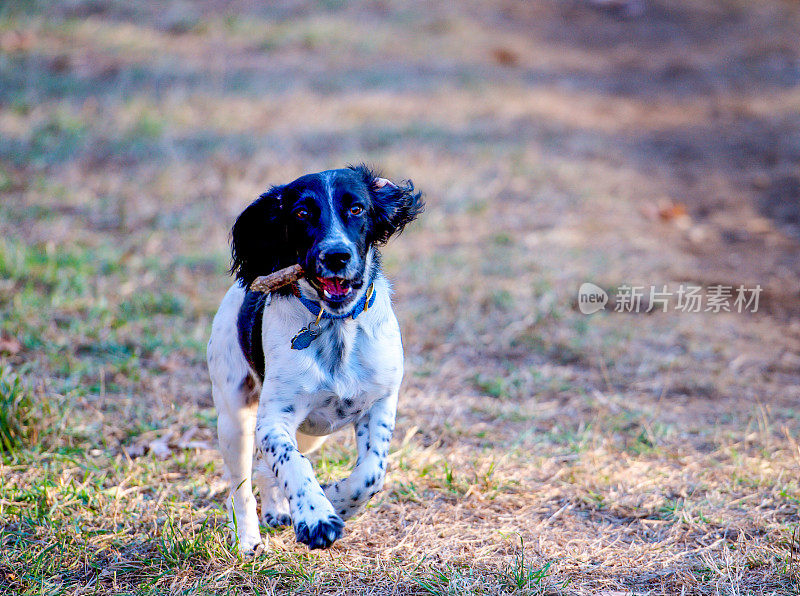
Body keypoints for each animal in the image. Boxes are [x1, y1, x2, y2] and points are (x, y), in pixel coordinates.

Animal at [206, 164, 424, 556]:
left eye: (357, 208)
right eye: (302, 213)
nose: (336, 255)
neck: (335, 326)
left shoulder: (380, 403)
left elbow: (371, 473)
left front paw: (335, 499)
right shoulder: (273, 419)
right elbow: (291, 463)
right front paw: (317, 517)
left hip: (312, 432)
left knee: (266, 469)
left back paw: (277, 510)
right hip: (234, 419)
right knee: (240, 486)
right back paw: (248, 539)